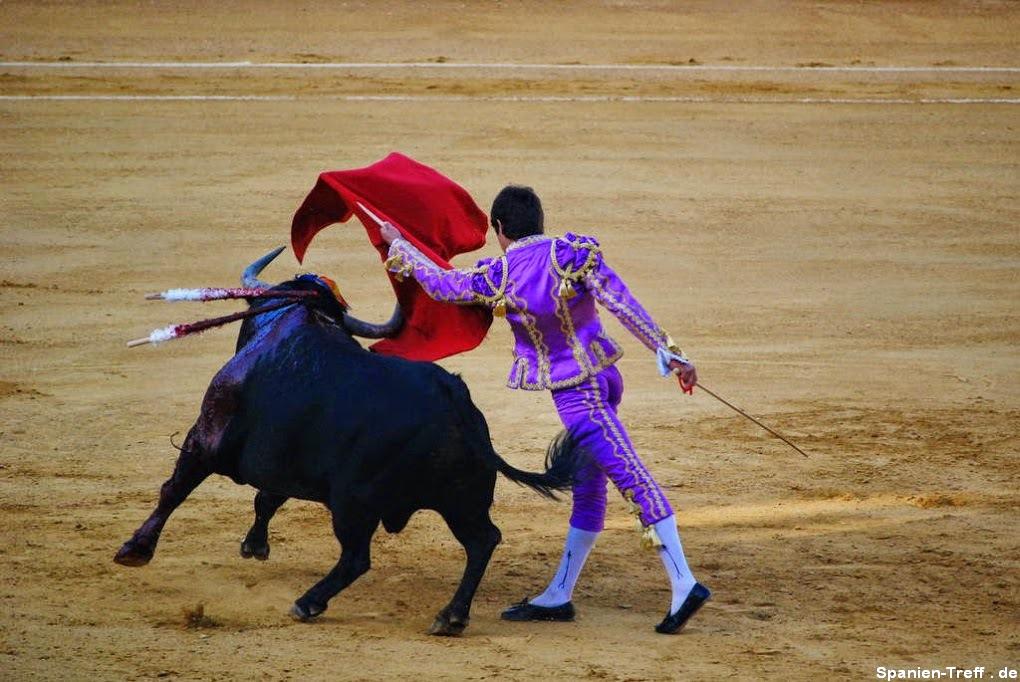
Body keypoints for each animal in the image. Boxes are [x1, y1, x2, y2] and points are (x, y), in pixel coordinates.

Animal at [112, 248, 587, 632]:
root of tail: (455, 404)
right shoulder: (285, 464)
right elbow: (266, 499)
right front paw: (255, 545)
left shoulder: (205, 438)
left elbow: (174, 490)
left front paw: (135, 548)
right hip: (460, 497)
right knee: (482, 540)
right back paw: (450, 616)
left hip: (354, 501)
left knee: (358, 556)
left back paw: (308, 603)